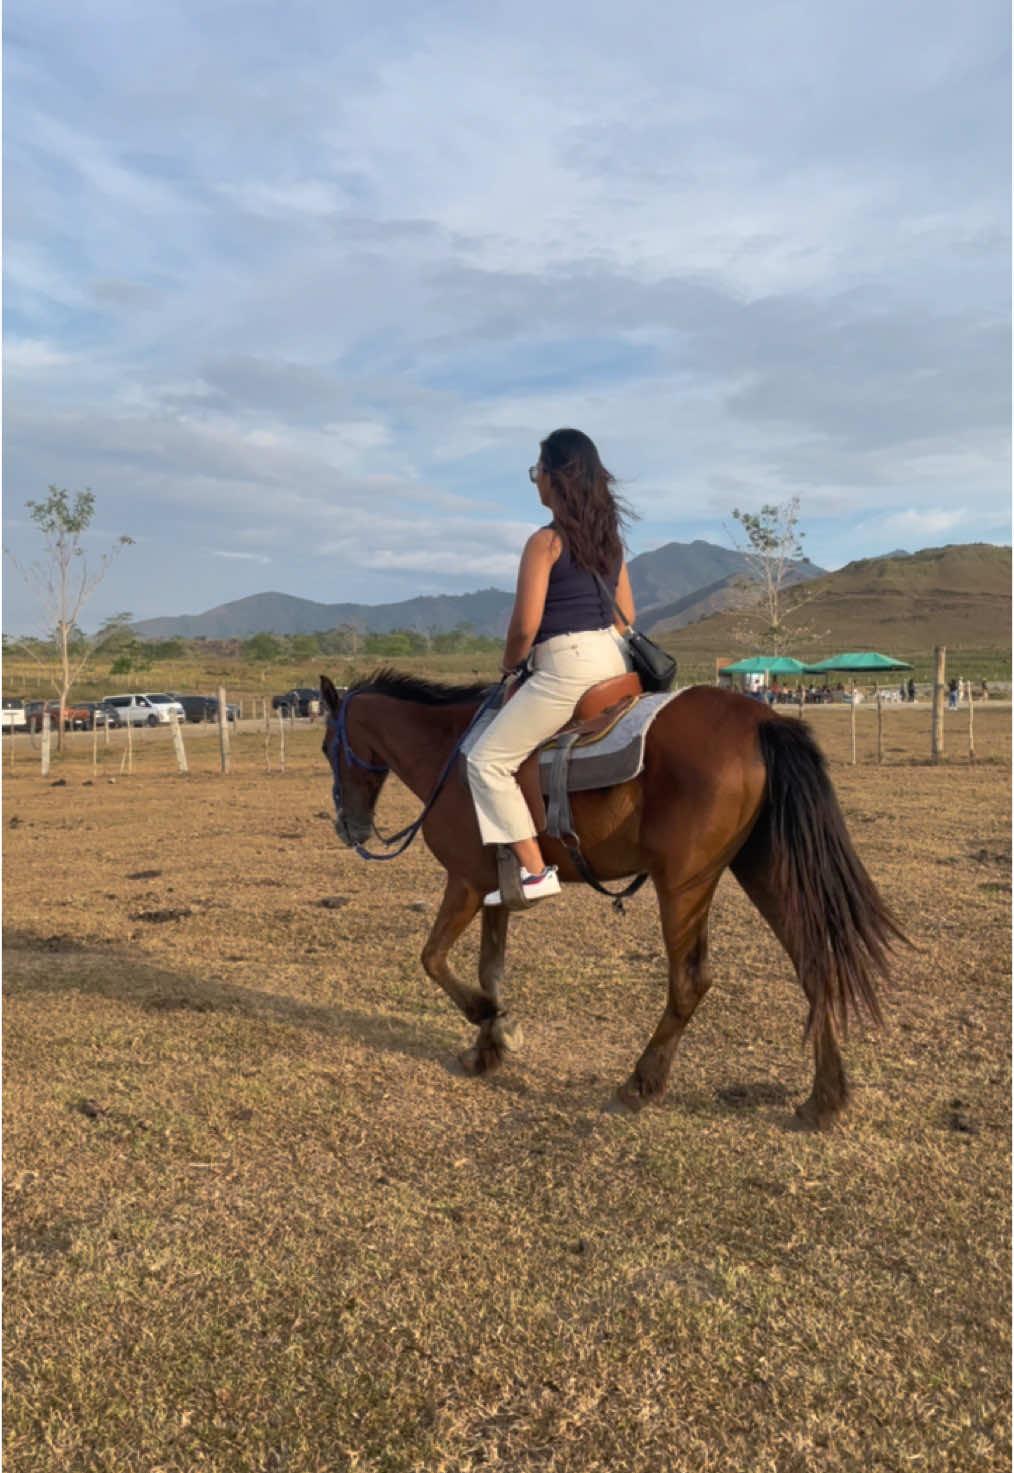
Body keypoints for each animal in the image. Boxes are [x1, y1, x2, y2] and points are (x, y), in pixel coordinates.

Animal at [318, 668, 901, 1125]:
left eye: (327, 747)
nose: (350, 826)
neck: (449, 751)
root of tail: (761, 721)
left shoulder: (464, 882)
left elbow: (434, 959)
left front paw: (489, 1020)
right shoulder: (495, 889)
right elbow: (490, 968)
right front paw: (489, 1045)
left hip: (684, 884)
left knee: (690, 981)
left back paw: (639, 1085)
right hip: (765, 869)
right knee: (814, 965)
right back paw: (824, 1099)